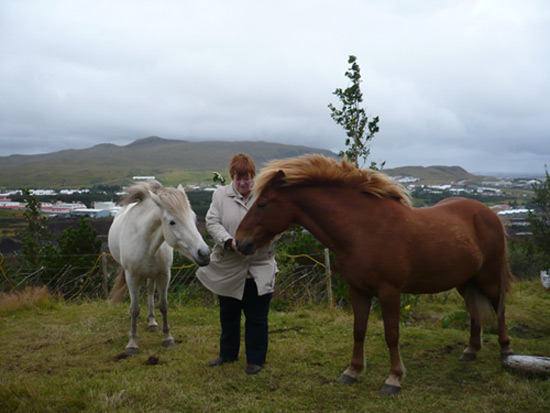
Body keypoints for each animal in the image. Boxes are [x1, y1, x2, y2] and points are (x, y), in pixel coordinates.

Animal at [108, 180, 211, 354]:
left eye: (193, 218)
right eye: (172, 222)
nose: (204, 254)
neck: (146, 241)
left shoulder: (164, 275)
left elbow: (163, 305)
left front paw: (167, 338)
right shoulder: (132, 277)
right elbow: (134, 309)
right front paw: (132, 344)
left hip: (152, 275)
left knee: (150, 291)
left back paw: (152, 322)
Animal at [235, 154, 516, 392]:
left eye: (262, 204)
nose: (240, 242)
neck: (362, 229)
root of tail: (490, 214)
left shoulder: (389, 292)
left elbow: (391, 335)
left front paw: (394, 378)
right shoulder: (357, 290)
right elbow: (358, 330)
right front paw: (353, 371)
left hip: (489, 278)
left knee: (499, 308)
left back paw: (505, 350)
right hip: (466, 280)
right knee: (474, 310)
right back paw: (471, 350)